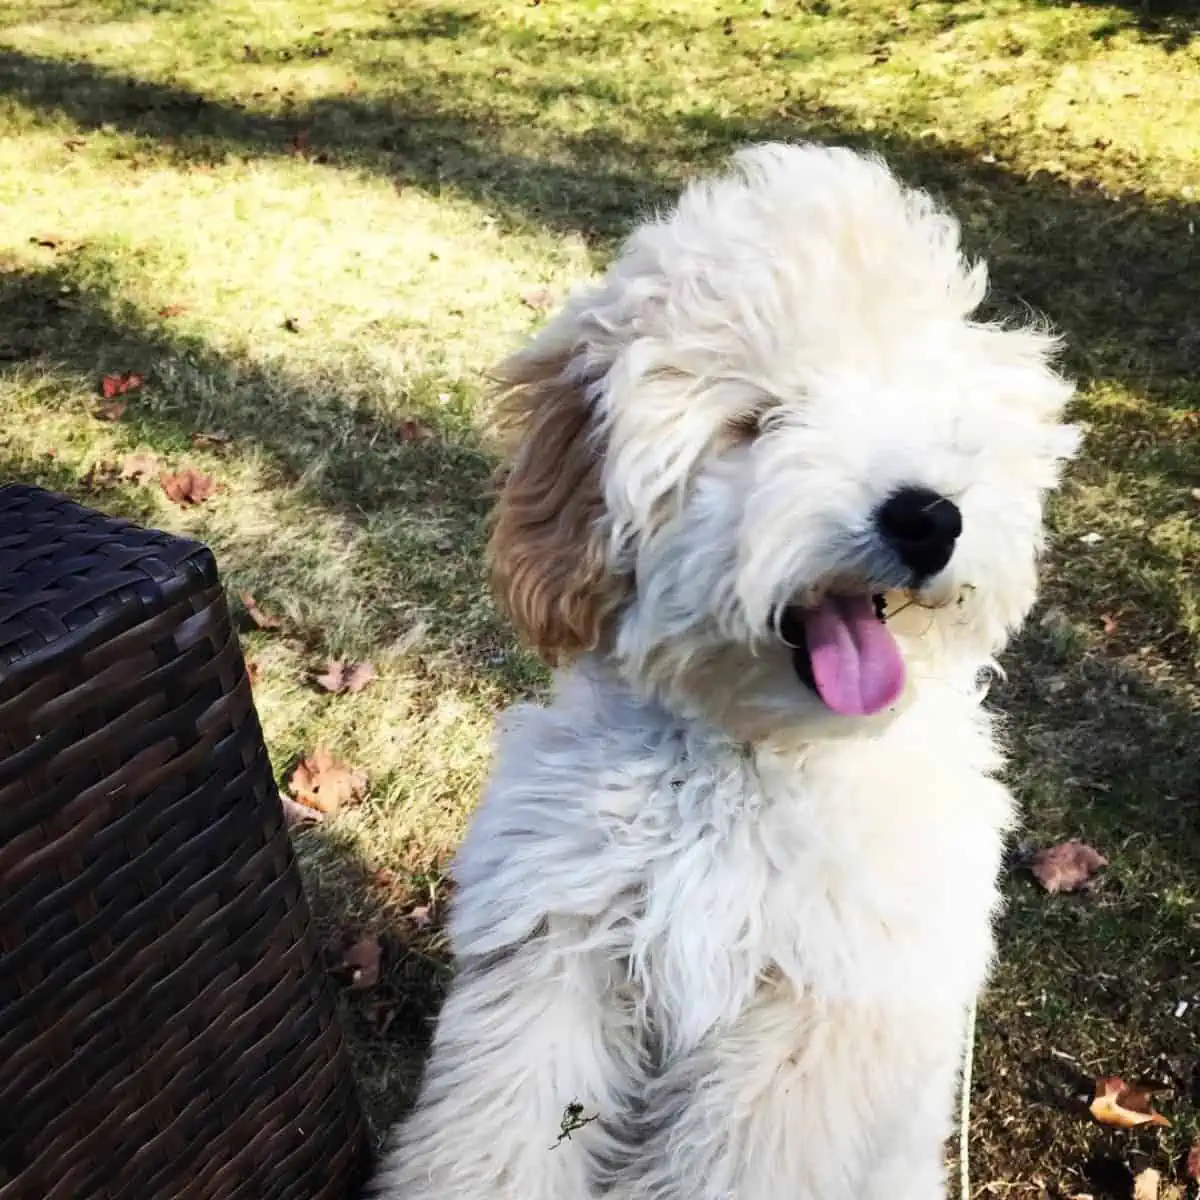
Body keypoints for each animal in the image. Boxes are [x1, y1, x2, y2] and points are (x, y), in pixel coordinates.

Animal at [367, 145, 1080, 1200]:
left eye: (933, 417)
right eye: (757, 421)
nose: (926, 517)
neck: (750, 759)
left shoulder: (810, 1021)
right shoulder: (559, 955)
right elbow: (501, 1132)